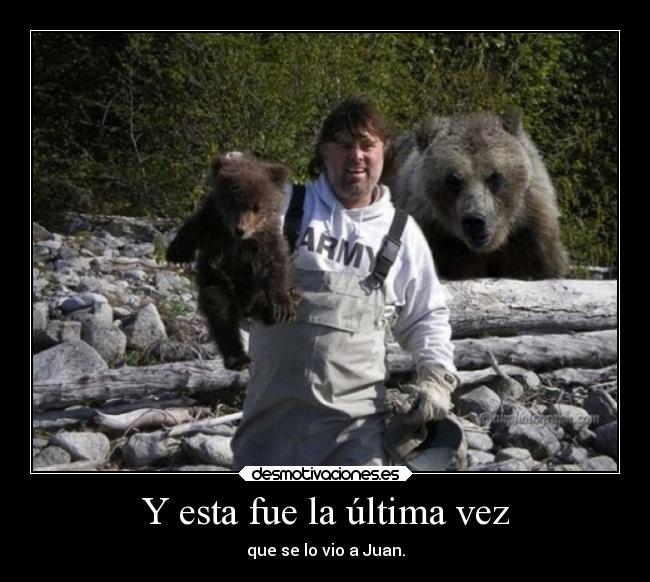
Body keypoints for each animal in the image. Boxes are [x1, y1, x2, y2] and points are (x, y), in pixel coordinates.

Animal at [166, 152, 298, 371]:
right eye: (234, 203)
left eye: (257, 207)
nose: (240, 229)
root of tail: (245, 308)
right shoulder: (212, 222)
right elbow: (191, 229)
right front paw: (175, 253)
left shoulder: (266, 239)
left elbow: (276, 263)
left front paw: (283, 306)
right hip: (218, 285)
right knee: (222, 317)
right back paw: (239, 358)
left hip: (256, 293)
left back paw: (292, 297)